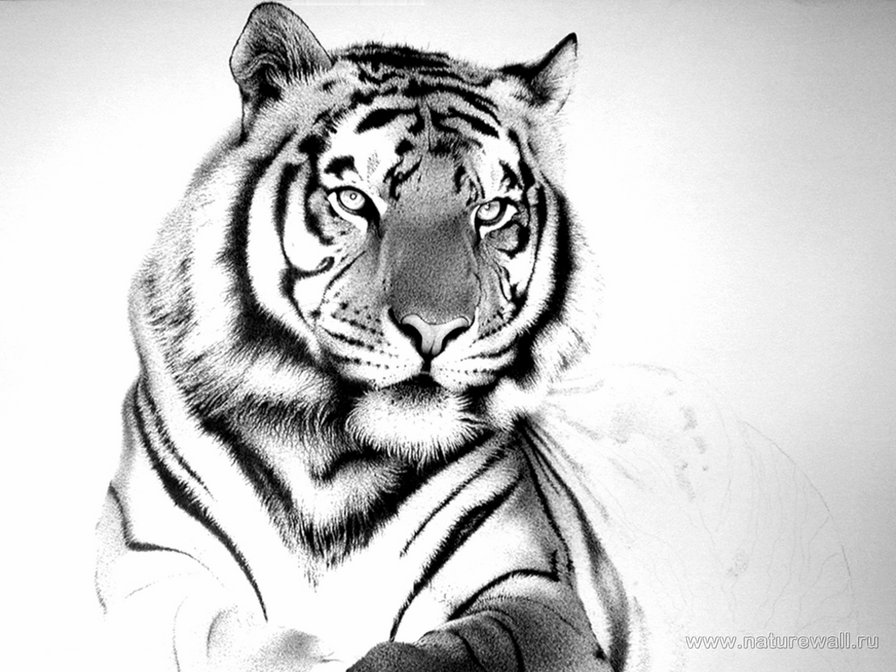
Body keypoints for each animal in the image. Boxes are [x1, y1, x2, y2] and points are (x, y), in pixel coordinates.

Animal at [95, 4, 854, 672]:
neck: (332, 464)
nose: (435, 330)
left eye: (490, 211)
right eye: (354, 200)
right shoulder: (150, 570)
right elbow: (214, 637)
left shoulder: (534, 594)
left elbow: (441, 653)